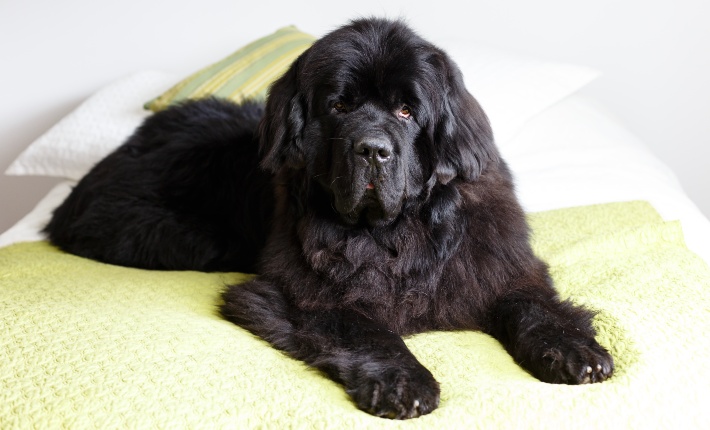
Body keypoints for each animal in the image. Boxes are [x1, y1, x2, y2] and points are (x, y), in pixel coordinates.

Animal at [46, 18, 612, 418]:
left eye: (407, 111)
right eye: (339, 106)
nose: (373, 150)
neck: (394, 234)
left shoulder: (495, 268)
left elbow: (533, 306)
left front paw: (574, 351)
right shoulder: (306, 294)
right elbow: (366, 329)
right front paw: (404, 382)